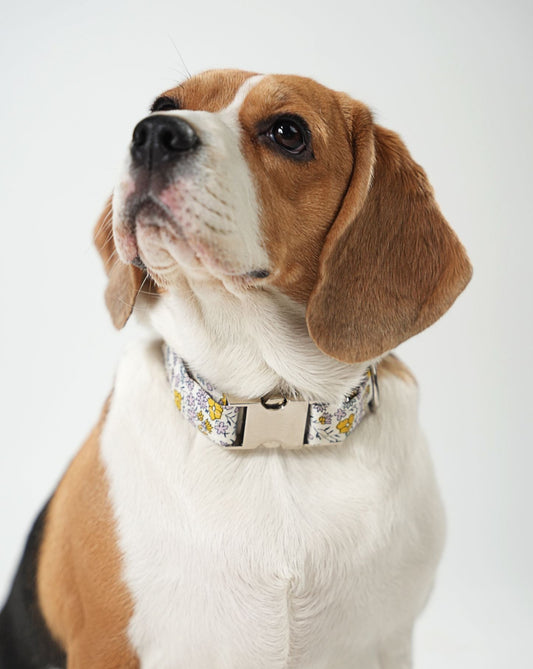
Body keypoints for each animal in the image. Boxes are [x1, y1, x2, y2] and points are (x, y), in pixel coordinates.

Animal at [2, 70, 472, 664]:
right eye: (161, 105)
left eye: (288, 132)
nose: (153, 135)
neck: (274, 430)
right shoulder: (108, 649)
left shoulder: (388, 644)